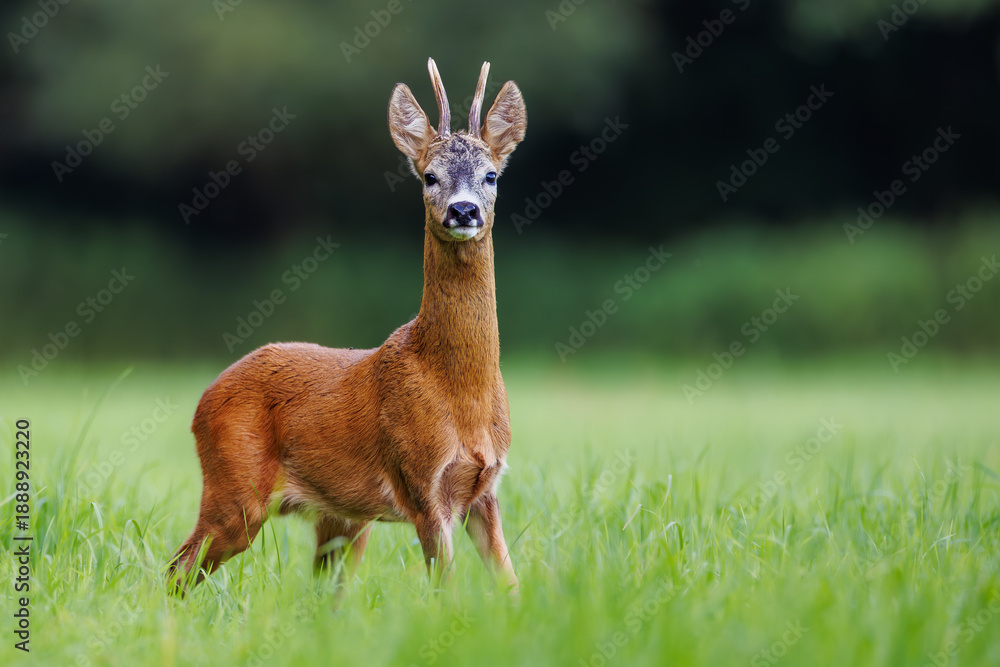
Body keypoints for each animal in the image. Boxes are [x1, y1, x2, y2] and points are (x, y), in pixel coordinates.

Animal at [167, 58, 527, 595]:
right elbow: (445, 589)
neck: (459, 388)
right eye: (429, 176)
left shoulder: (484, 489)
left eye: (491, 175)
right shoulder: (420, 483)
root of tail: (203, 399)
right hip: (235, 489)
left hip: (342, 518)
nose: (463, 211)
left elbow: (510, 584)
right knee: (177, 568)